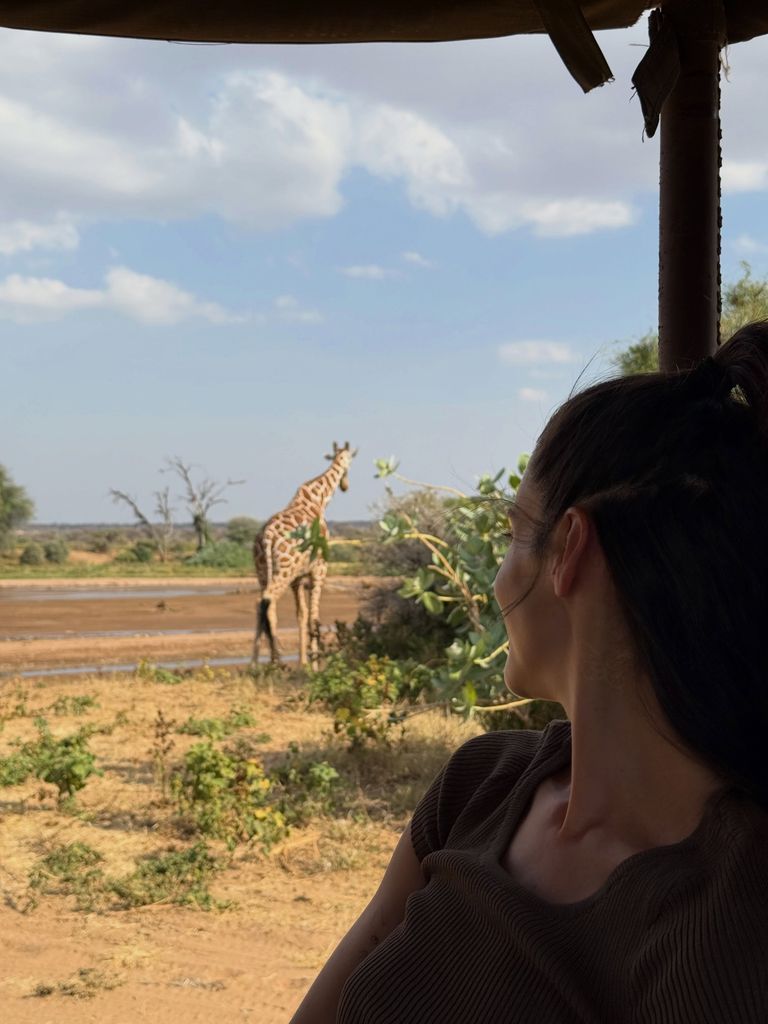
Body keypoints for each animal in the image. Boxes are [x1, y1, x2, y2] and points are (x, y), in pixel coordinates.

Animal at [252, 441, 356, 668]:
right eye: (350, 462)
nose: (345, 486)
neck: (318, 500)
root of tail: (267, 536)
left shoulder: (298, 578)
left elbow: (301, 614)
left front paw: (303, 663)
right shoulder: (320, 570)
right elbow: (313, 617)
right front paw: (315, 665)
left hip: (263, 571)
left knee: (264, 605)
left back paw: (257, 663)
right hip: (283, 570)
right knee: (266, 601)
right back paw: (274, 660)